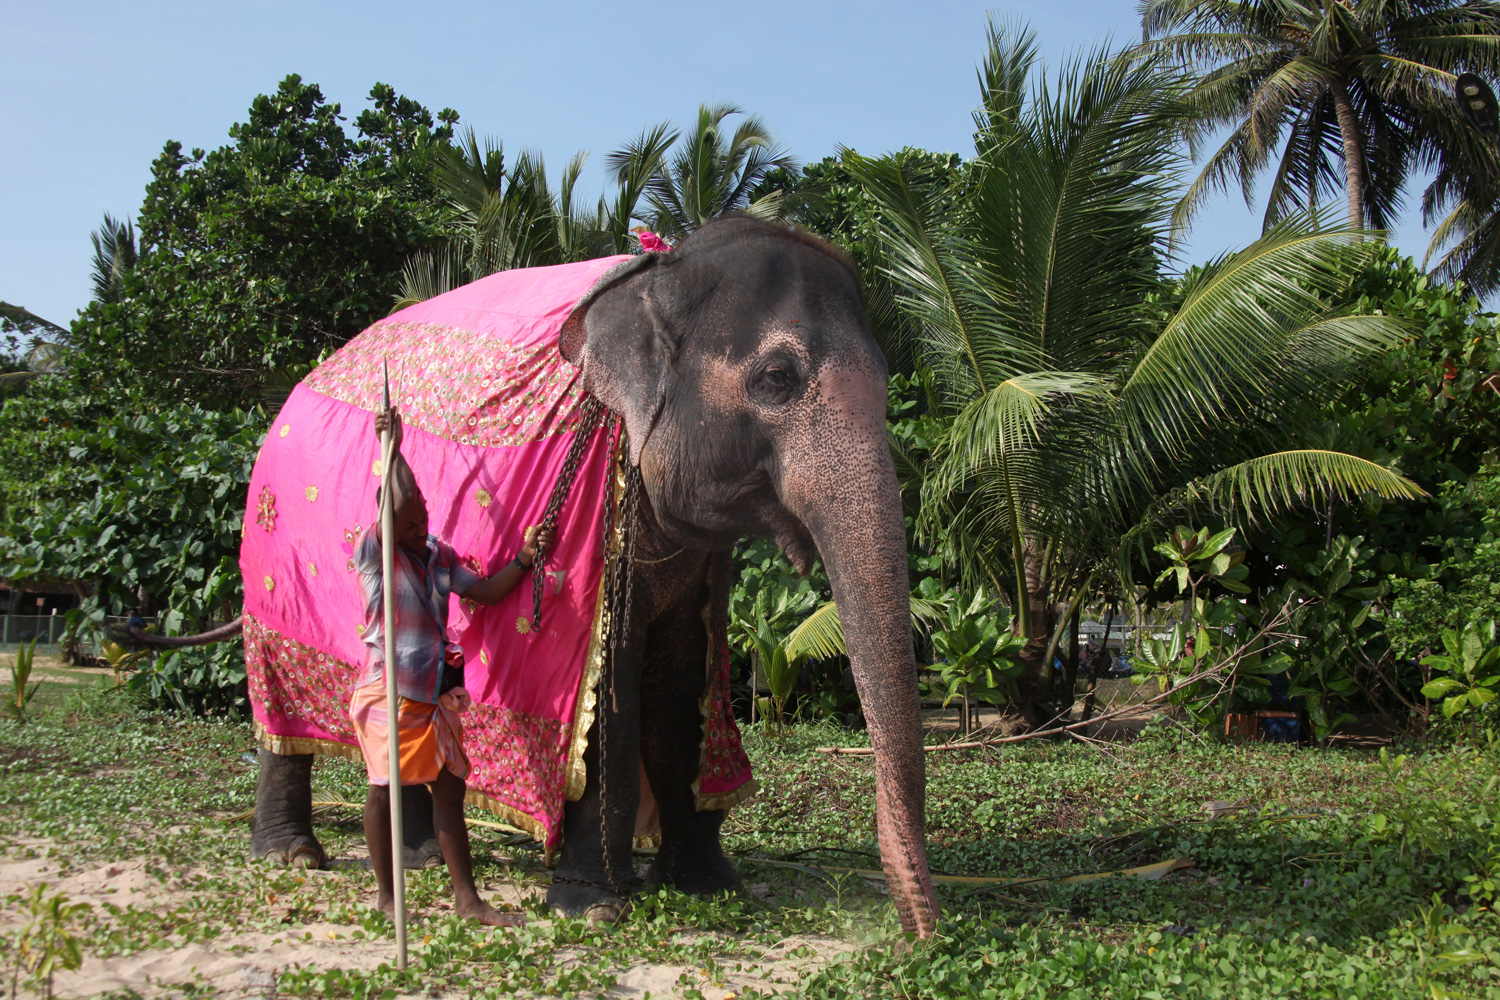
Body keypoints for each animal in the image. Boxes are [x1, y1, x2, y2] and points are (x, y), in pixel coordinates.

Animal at [138, 217, 936, 941]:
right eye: (777, 379)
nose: (917, 943)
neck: (656, 273)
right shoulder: (600, 528)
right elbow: (608, 695)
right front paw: (596, 908)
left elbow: (678, 689)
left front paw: (709, 889)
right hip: (269, 575)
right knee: (285, 710)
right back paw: (295, 857)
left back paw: (420, 859)